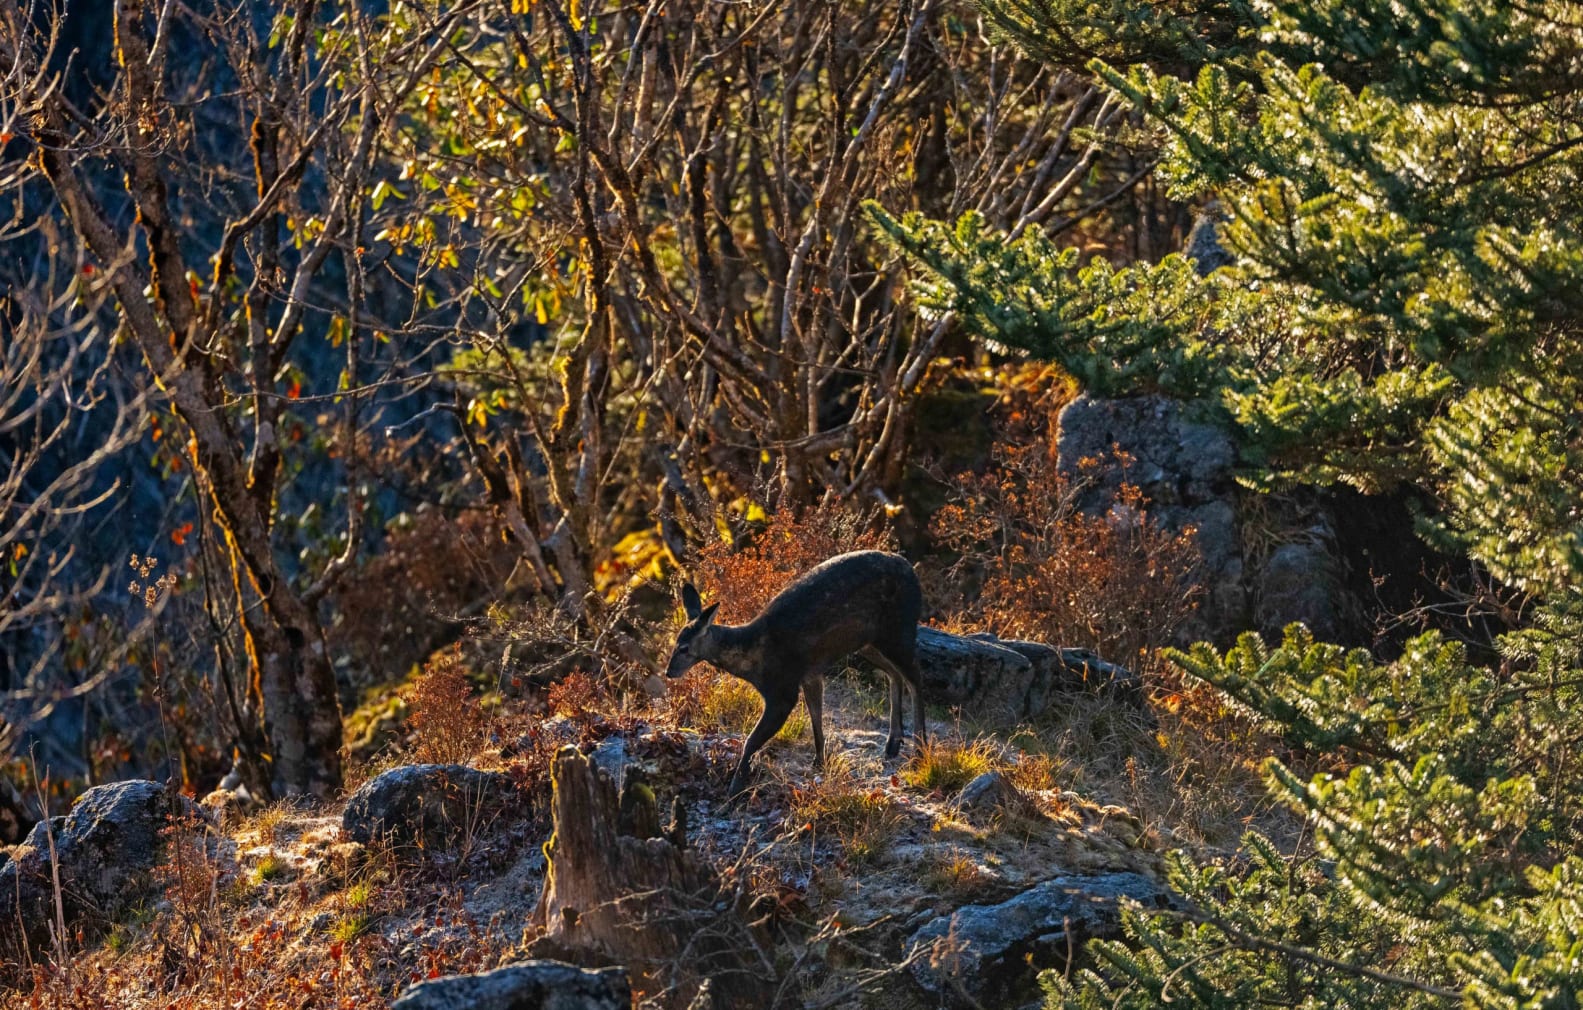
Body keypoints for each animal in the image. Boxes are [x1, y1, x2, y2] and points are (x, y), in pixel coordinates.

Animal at [665, 550, 927, 797]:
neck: (753, 655)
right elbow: (815, 717)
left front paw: (735, 787)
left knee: (915, 677)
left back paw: (920, 750)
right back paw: (893, 743)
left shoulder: (783, 687)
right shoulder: (810, 674)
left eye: (684, 648)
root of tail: (912, 570)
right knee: (895, 674)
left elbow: (751, 740)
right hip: (868, 641)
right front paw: (820, 761)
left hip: (898, 628)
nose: (669, 672)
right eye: (675, 642)